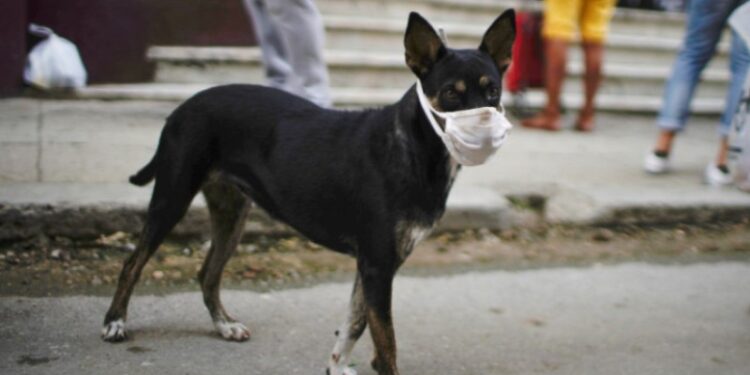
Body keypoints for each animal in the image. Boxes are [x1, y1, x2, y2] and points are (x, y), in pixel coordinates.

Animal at [103, 11, 516, 375]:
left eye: (493, 90)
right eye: (450, 93)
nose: (488, 125)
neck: (415, 146)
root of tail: (185, 105)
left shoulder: (376, 264)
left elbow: (355, 326)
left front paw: (337, 364)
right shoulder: (377, 264)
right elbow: (386, 340)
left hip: (232, 212)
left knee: (207, 272)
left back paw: (224, 324)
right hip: (172, 197)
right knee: (132, 263)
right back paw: (115, 322)